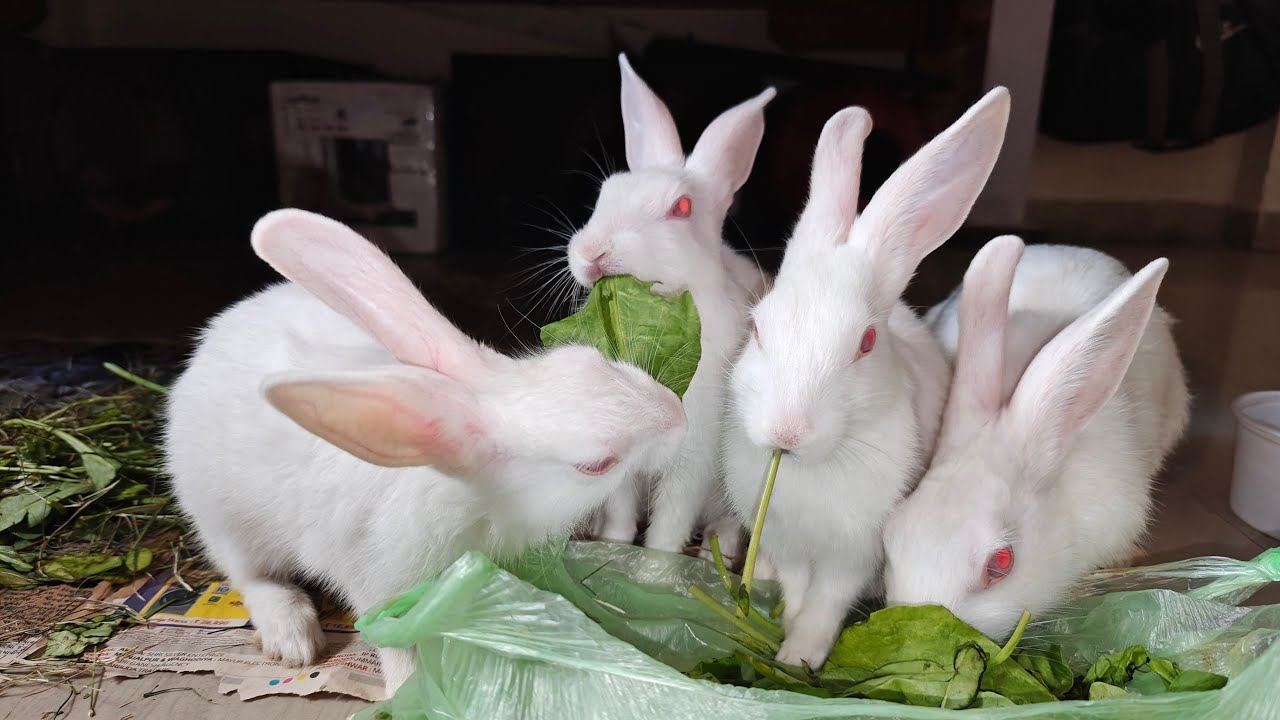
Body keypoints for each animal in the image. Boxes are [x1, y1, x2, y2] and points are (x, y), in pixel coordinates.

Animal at [164, 209, 687, 694]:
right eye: (596, 465)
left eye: (590, 359)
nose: (678, 414)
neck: (477, 499)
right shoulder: (377, 581)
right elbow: (395, 643)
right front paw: (407, 690)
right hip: (226, 522)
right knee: (251, 577)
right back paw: (292, 636)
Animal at [564, 53, 775, 559]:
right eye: (604, 195)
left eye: (681, 208)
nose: (593, 253)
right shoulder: (621, 461)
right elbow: (621, 512)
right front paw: (614, 545)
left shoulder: (693, 463)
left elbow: (668, 523)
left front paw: (656, 564)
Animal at [722, 87, 1011, 669]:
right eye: (757, 326)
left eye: (867, 342)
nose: (786, 433)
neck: (813, 467)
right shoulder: (789, 543)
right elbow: (796, 588)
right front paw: (788, 637)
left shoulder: (852, 557)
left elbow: (825, 604)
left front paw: (799, 657)